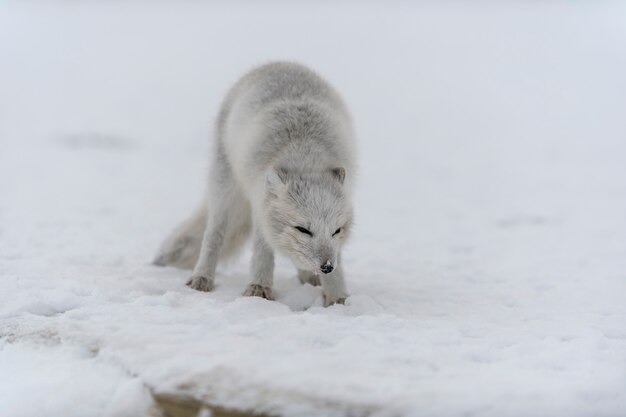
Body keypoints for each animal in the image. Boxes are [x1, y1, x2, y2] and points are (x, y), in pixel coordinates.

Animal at [153, 61, 354, 306]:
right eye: (303, 229)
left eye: (336, 230)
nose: (326, 266)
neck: (305, 158)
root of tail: (277, 63)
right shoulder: (260, 206)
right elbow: (262, 250)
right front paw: (259, 289)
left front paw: (337, 298)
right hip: (225, 189)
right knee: (213, 234)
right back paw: (202, 278)